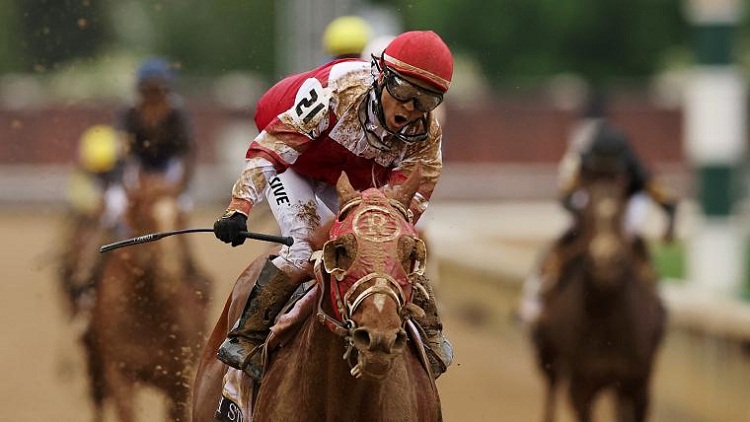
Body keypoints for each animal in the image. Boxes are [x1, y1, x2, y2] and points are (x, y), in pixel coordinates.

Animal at [532, 150, 668, 420]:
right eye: (587, 214)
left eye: (621, 214)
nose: (605, 260)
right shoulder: (582, 385)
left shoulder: (637, 384)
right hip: (548, 357)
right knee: (551, 391)